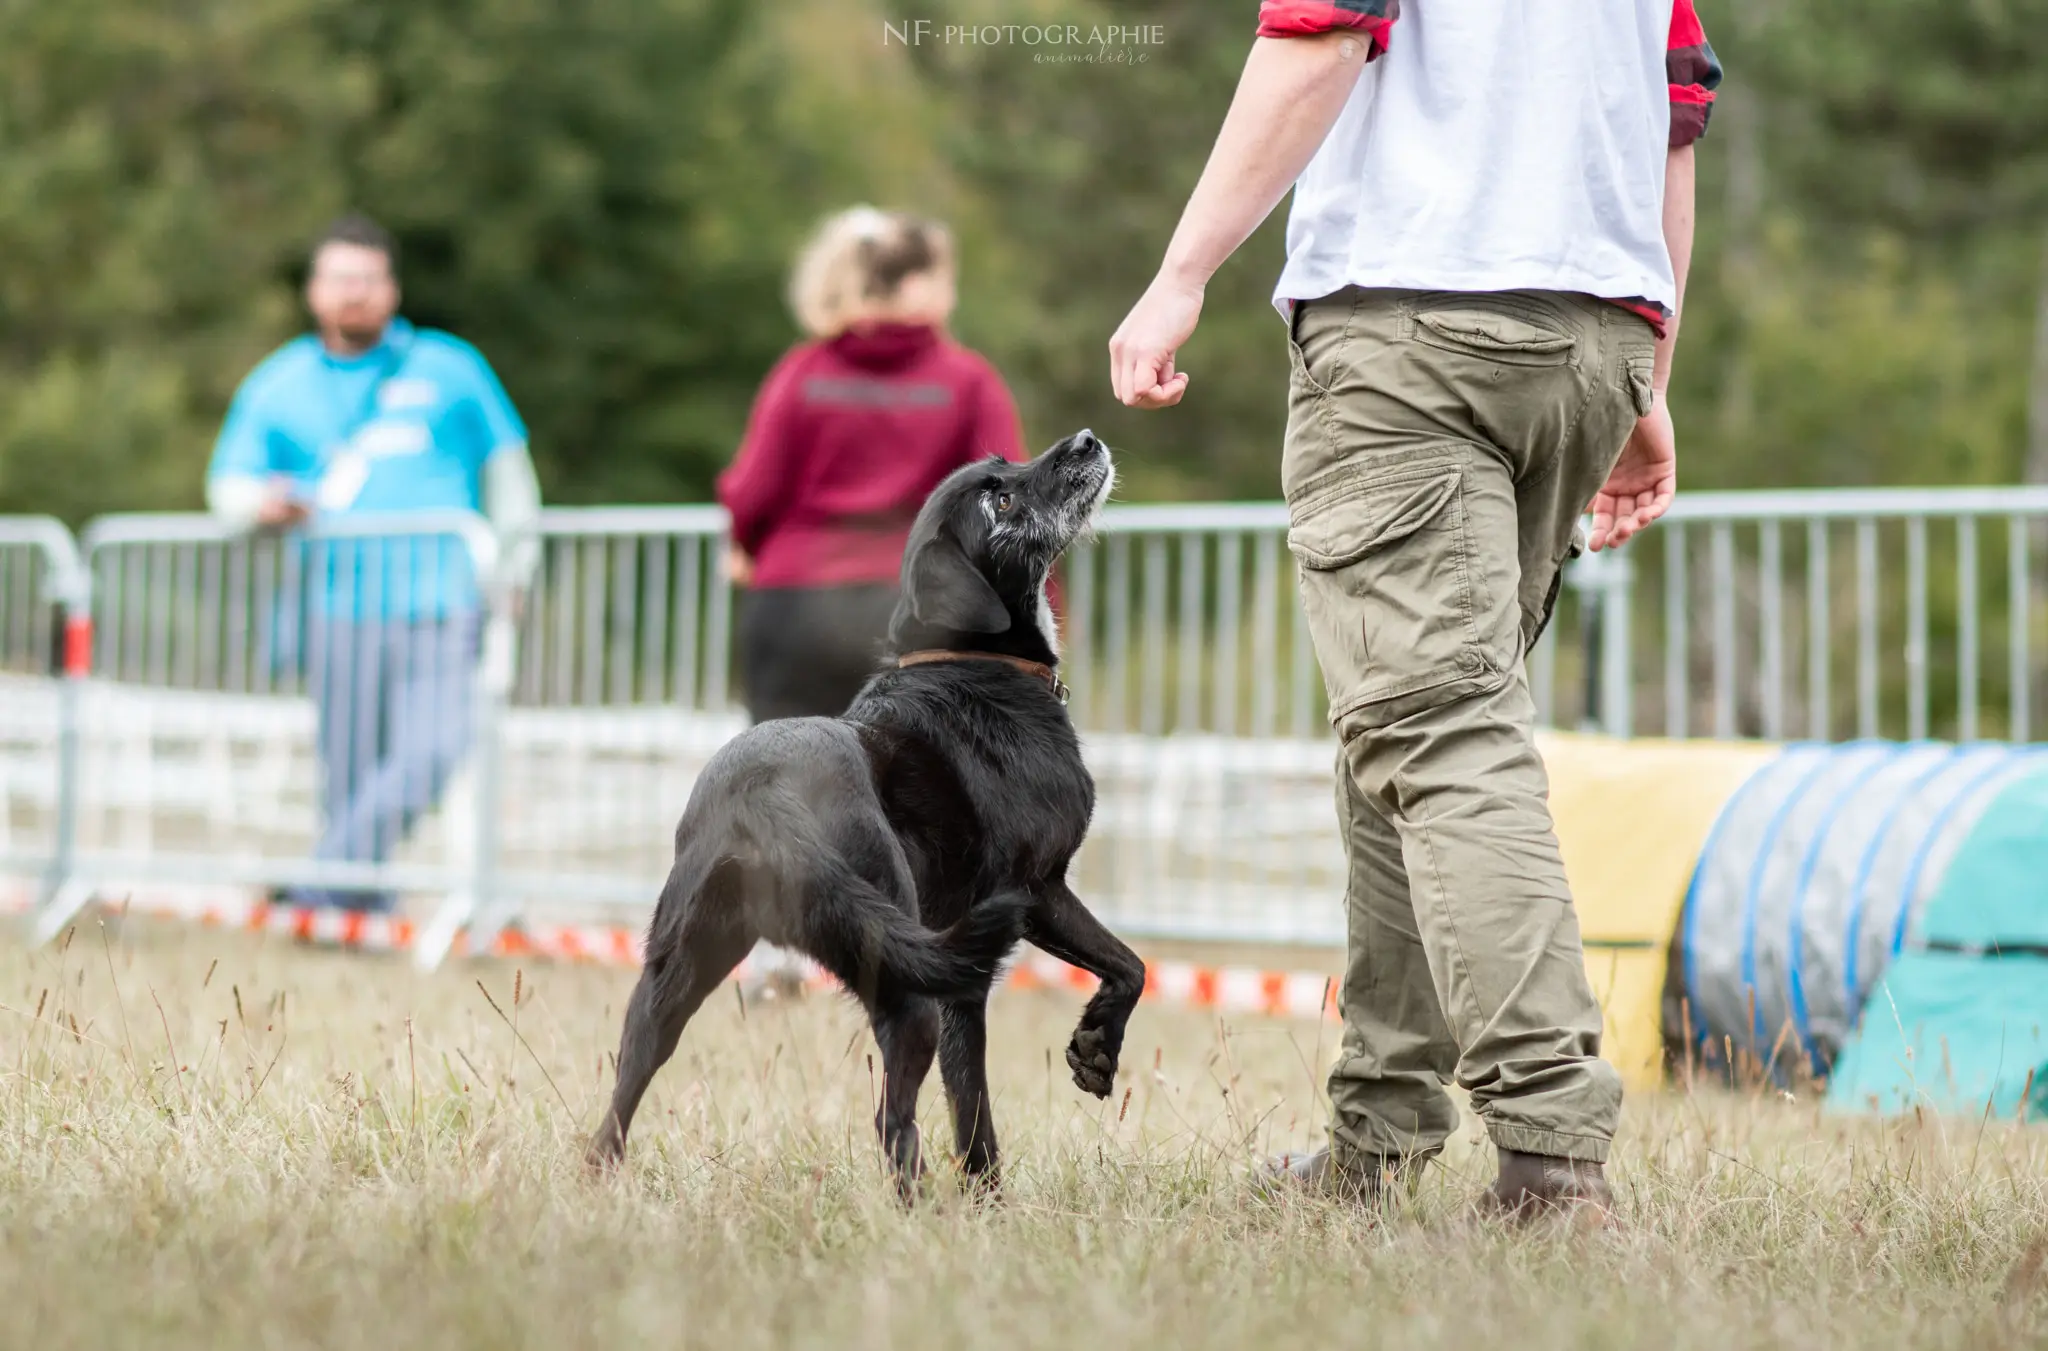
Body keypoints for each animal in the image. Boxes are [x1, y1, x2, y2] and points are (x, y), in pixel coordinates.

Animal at [585, 429, 1146, 1195]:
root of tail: (763, 795)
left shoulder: (975, 962)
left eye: (1005, 466)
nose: (1087, 440)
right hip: (905, 977)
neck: (969, 657)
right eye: (999, 501)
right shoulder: (1032, 896)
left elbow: (1115, 974)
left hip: (675, 973)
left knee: (623, 1089)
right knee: (891, 1122)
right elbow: (1116, 977)